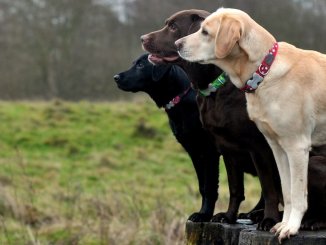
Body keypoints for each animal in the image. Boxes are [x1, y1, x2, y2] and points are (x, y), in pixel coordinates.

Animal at [114, 54, 222, 222]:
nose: (116, 78)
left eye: (141, 65)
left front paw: (204, 214)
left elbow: (210, 186)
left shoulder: (209, 150)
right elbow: (202, 186)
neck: (182, 98)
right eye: (134, 63)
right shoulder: (195, 152)